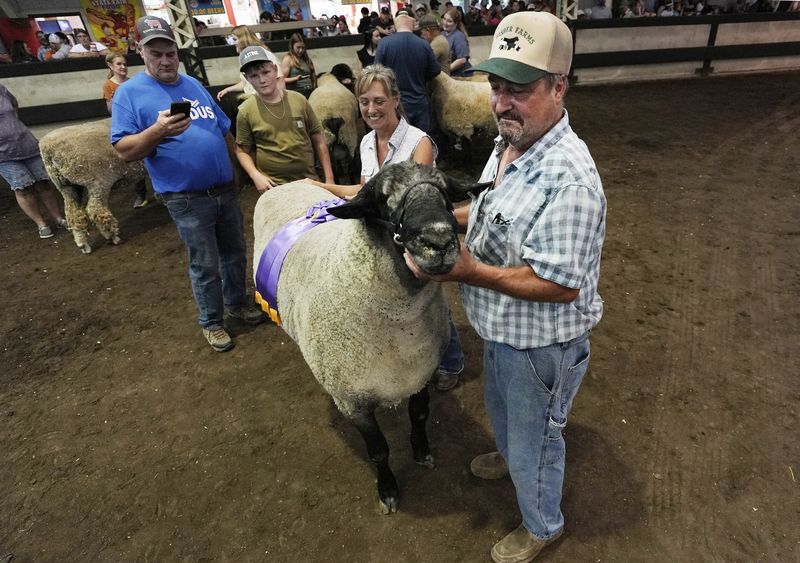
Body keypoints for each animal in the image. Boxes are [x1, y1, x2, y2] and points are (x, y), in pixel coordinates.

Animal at [39, 119, 145, 254]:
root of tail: (48, 150)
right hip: (97, 181)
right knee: (95, 210)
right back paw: (112, 237)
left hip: (67, 186)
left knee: (73, 215)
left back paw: (83, 244)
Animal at [252, 161, 489, 513]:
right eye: (382, 198)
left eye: (446, 192)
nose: (438, 240)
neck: (401, 326)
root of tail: (286, 185)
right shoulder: (353, 401)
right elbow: (379, 450)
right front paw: (388, 490)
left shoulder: (421, 374)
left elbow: (420, 416)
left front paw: (422, 452)